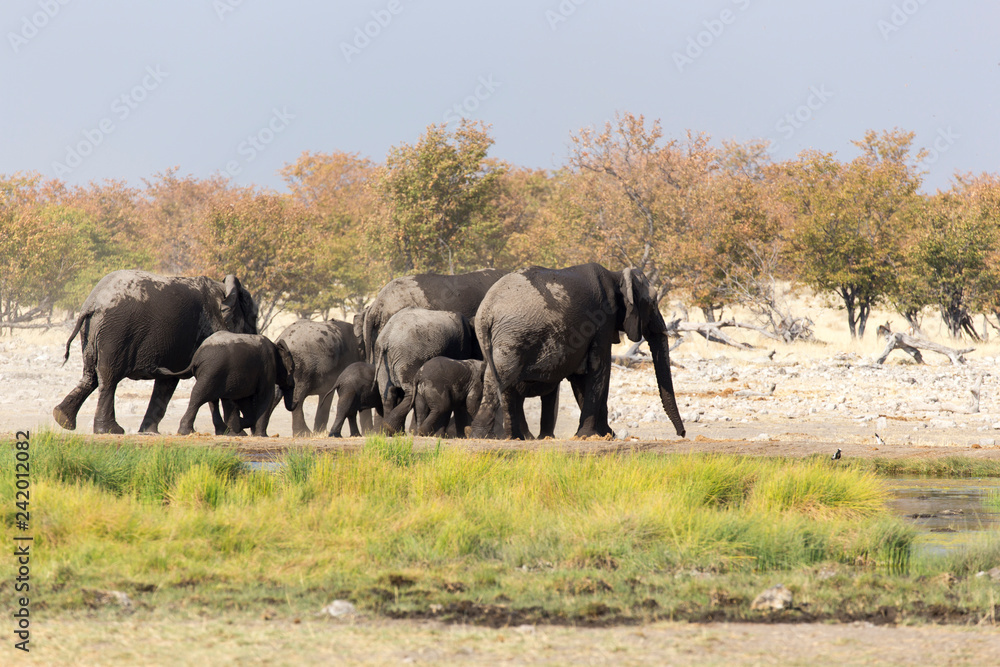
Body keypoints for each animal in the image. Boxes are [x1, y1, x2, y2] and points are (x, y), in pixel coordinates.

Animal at [54, 268, 258, 436]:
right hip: (116, 332)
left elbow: (167, 383)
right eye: (255, 317)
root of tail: (93, 303)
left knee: (91, 376)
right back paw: (111, 430)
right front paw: (237, 434)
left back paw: (63, 419)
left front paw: (149, 432)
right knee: (108, 379)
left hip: (92, 333)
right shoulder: (211, 329)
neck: (223, 288)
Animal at [158, 332, 294, 438]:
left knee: (211, 400)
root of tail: (197, 357)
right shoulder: (268, 368)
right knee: (199, 395)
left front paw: (238, 426)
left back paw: (225, 431)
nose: (290, 383)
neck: (276, 347)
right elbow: (265, 396)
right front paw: (259, 435)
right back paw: (188, 432)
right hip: (212, 371)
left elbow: (244, 399)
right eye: (292, 369)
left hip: (212, 373)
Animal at [470, 264, 688, 440]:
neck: (616, 275)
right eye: (653, 303)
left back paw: (511, 437)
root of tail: (486, 312)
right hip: (513, 337)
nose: (682, 434)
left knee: (500, 379)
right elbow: (599, 370)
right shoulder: (602, 321)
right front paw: (590, 435)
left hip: (501, 337)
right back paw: (484, 435)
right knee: (502, 377)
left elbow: (580, 377)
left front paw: (605, 435)